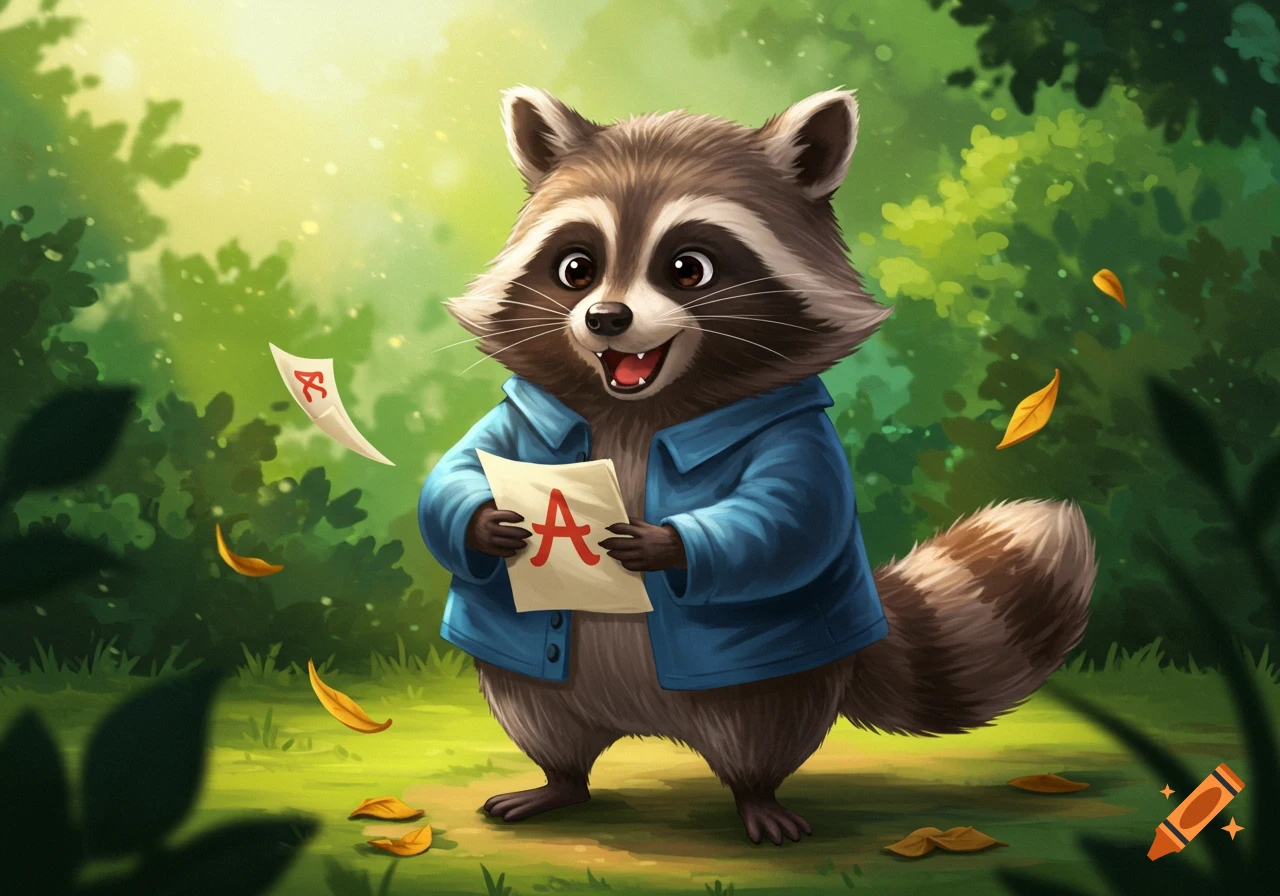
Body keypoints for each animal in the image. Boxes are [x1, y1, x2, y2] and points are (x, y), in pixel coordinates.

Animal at [419, 87, 1095, 845]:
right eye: (576, 268)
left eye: (688, 268)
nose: (606, 318)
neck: (639, 409)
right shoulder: (526, 410)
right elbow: (455, 469)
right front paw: (483, 519)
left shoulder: (797, 430)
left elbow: (792, 515)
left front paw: (670, 543)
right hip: (535, 684)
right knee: (539, 715)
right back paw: (559, 782)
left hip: (776, 685)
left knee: (763, 733)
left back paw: (756, 796)